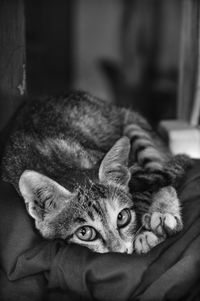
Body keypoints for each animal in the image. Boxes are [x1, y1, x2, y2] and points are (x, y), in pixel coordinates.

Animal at [0, 89, 191, 253]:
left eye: (122, 217)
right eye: (84, 233)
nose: (121, 251)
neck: (59, 165)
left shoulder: (134, 169)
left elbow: (147, 189)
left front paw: (145, 233)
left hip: (134, 126)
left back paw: (164, 211)